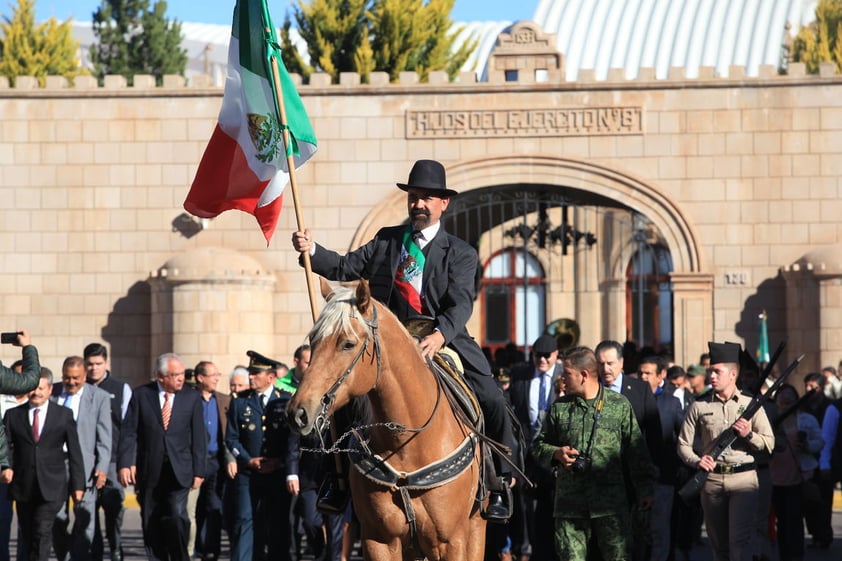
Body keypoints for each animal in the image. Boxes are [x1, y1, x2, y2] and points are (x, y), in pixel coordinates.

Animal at [286, 280, 486, 560]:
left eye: (347, 344)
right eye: (313, 341)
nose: (298, 412)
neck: (408, 442)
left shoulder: (450, 542)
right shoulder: (379, 540)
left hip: (475, 527)